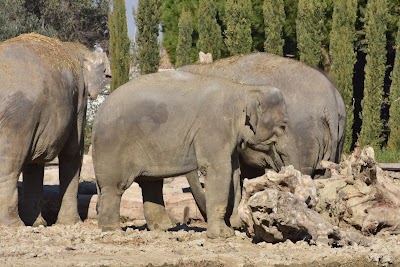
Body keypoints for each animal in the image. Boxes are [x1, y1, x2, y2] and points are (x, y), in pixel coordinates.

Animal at [0, 32, 110, 227]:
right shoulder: (80, 99)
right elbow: (73, 152)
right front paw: (71, 223)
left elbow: (34, 165)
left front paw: (38, 223)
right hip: (16, 120)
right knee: (9, 166)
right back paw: (13, 225)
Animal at [92, 70, 290, 240]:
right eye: (282, 126)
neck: (244, 89)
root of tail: (98, 112)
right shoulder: (214, 127)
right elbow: (219, 170)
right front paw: (223, 235)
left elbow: (234, 173)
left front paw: (233, 226)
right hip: (112, 148)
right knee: (115, 187)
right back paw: (112, 230)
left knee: (151, 184)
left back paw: (164, 228)